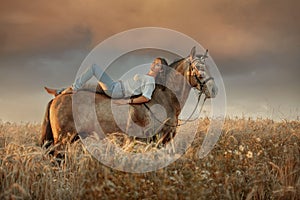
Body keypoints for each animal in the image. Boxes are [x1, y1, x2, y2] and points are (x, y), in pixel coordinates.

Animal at [41, 46, 217, 147]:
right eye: (198, 68)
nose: (213, 90)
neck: (164, 99)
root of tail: (56, 99)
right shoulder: (157, 141)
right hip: (62, 141)